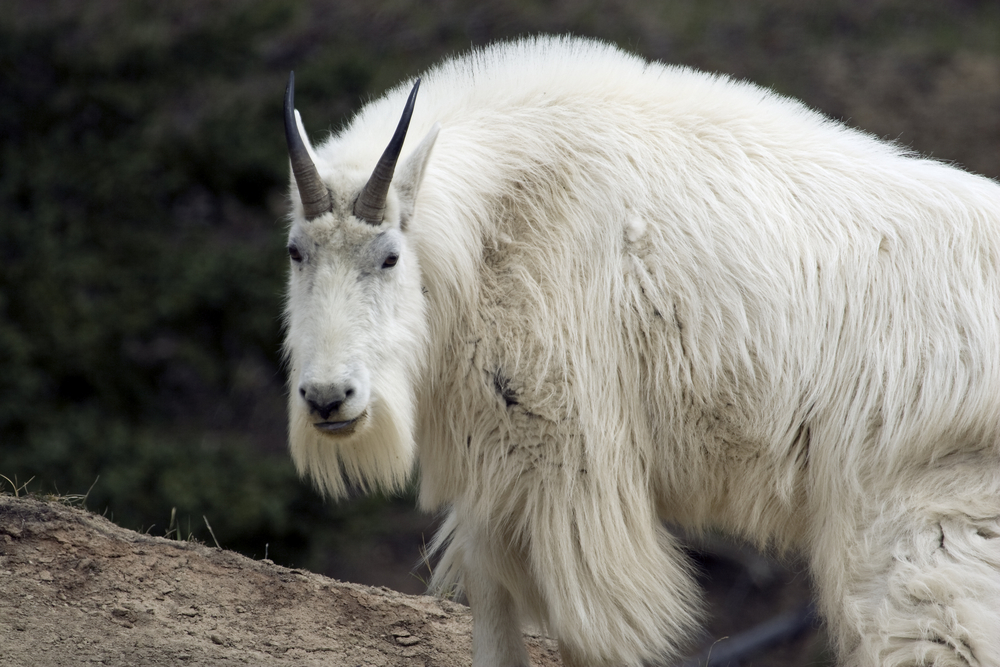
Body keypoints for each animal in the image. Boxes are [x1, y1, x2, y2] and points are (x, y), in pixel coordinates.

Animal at [280, 37, 1000, 667]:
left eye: (389, 256)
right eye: (295, 251)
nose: (329, 398)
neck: (496, 226)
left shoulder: (570, 469)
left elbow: (586, 631)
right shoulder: (494, 467)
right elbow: (492, 610)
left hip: (914, 516)